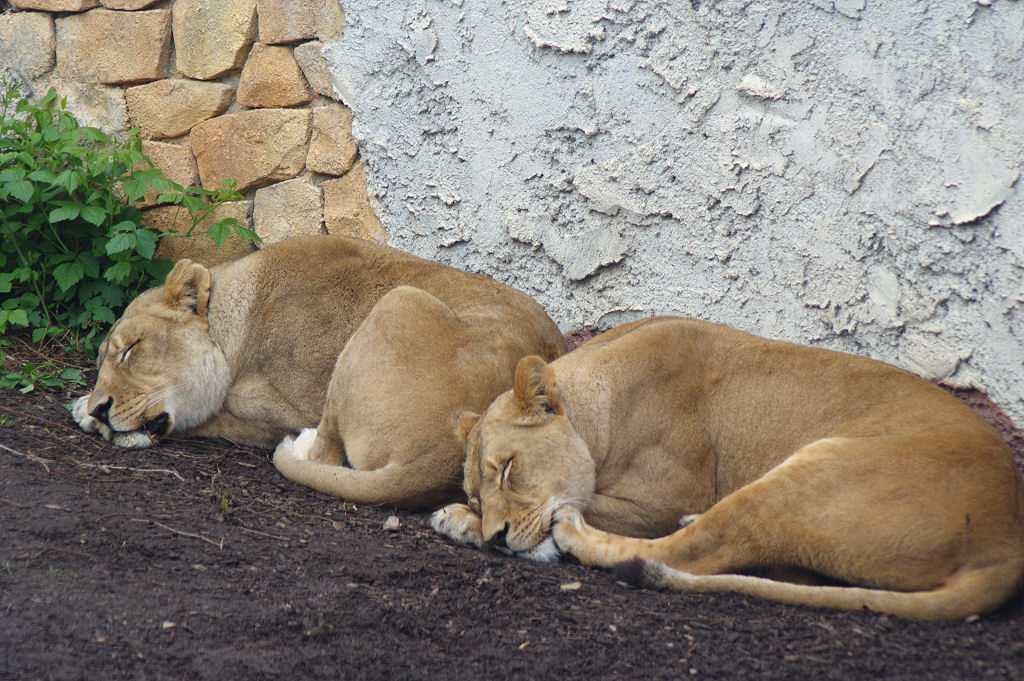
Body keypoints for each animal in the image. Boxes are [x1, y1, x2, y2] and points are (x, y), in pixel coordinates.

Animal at [73, 235, 566, 507]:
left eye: (130, 349)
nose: (100, 409)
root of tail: (447, 450)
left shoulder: (289, 406)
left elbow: (211, 416)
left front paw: (83, 411)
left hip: (399, 300)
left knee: (326, 452)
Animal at [431, 316, 1024, 619]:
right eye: (481, 492)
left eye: (508, 469)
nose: (498, 537)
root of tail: (1006, 538)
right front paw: (463, 519)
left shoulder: (662, 498)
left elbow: (584, 506)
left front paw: (469, 524)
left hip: (809, 473)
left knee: (691, 551)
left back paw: (575, 535)